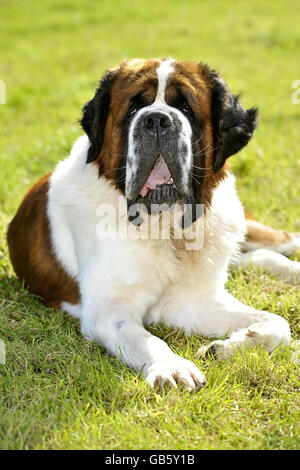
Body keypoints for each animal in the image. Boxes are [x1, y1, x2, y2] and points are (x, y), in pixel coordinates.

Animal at [7, 57, 300, 390]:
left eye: (185, 107)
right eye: (134, 107)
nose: (157, 120)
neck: (167, 229)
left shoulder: (196, 299)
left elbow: (277, 323)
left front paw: (221, 349)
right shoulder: (110, 310)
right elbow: (145, 339)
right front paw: (174, 367)